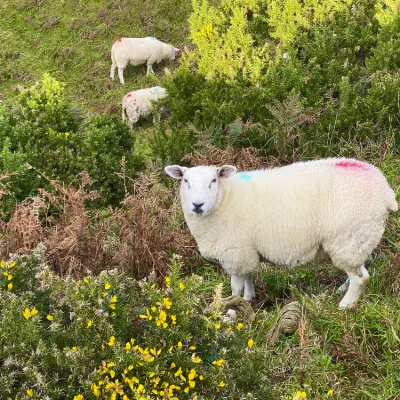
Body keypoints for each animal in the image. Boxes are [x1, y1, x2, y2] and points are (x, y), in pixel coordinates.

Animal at [164, 158, 398, 308]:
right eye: (186, 181)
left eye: (213, 181)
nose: (197, 205)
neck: (224, 199)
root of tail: (386, 191)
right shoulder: (246, 250)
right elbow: (249, 276)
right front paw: (249, 299)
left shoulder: (234, 251)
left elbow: (235, 286)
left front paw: (232, 306)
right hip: (359, 239)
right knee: (358, 269)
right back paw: (342, 290)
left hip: (347, 237)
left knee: (361, 278)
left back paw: (344, 305)